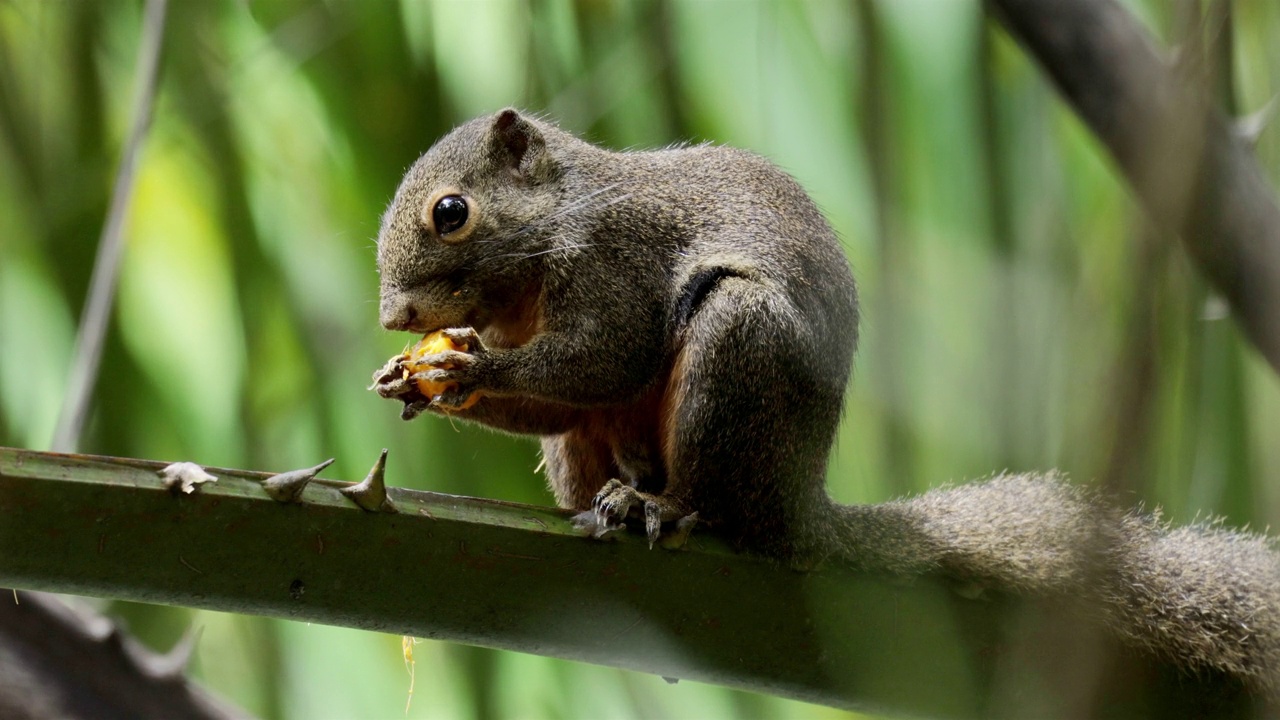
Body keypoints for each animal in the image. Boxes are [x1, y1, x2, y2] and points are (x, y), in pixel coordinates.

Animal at [368, 107, 1280, 702]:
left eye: (451, 212)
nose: (393, 315)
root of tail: (799, 510)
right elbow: (553, 406)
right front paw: (414, 381)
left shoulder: (616, 261)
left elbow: (601, 360)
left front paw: (466, 369)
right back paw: (604, 501)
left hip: (738, 353)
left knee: (714, 504)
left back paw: (663, 507)